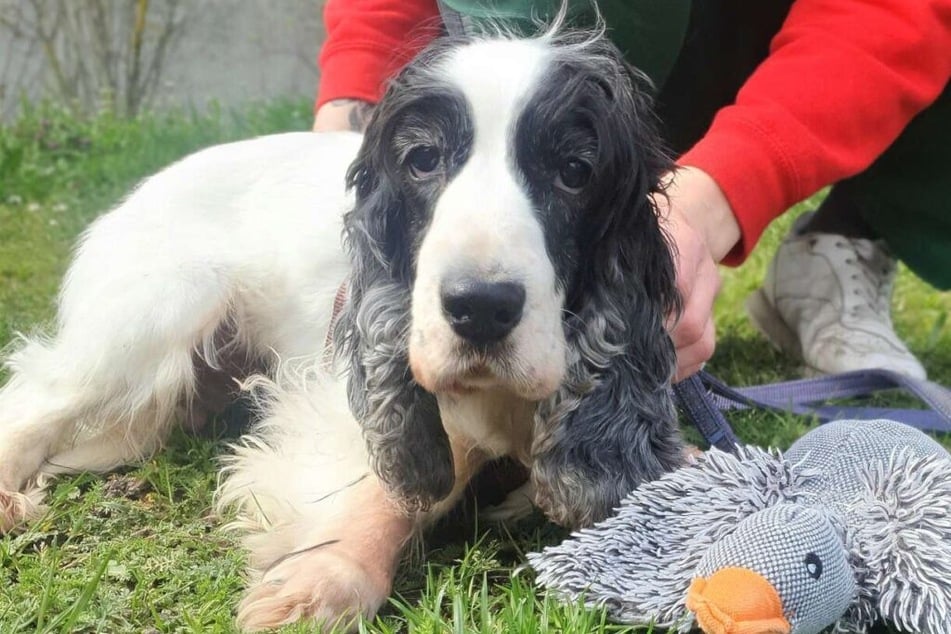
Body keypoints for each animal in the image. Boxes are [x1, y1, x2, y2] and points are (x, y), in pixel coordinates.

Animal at [0, 27, 684, 628]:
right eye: (422, 159)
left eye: (575, 171)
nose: (480, 307)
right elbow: (388, 485)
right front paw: (324, 580)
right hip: (162, 308)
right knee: (38, 397)